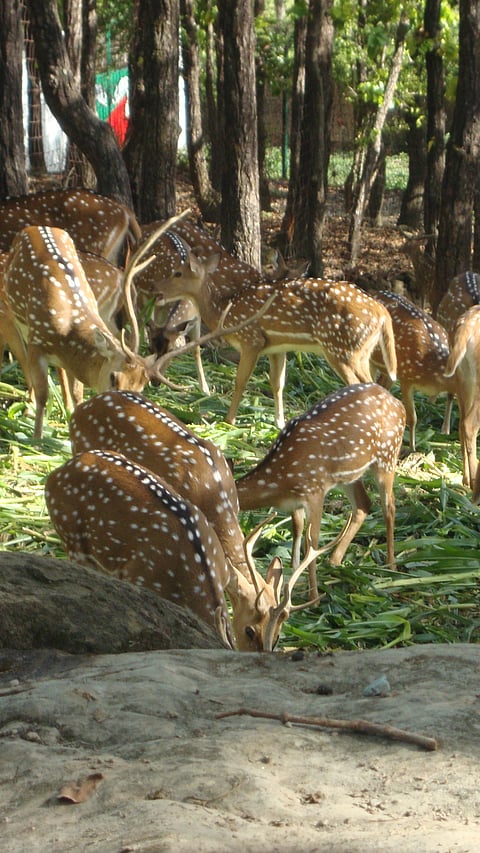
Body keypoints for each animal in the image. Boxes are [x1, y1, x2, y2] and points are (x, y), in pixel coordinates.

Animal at [135, 230, 397, 428]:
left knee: (363, 384)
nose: (155, 286)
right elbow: (277, 384)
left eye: (178, 273)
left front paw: (229, 420)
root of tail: (382, 313)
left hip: (342, 347)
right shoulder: (276, 347)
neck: (225, 309)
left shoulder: (251, 339)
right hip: (361, 351)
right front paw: (280, 422)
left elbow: (241, 380)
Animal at [235, 383, 406, 600]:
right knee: (363, 505)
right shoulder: (295, 501)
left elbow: (312, 542)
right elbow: (297, 529)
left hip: (387, 456)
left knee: (389, 506)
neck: (279, 478)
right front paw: (293, 575)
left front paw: (313, 596)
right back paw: (334, 561)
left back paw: (391, 566)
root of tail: (397, 402)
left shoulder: (314, 490)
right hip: (349, 475)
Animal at [370, 290, 457, 450]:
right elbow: (412, 417)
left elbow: (450, 395)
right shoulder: (406, 378)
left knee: (381, 384)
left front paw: (445, 431)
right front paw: (412, 448)